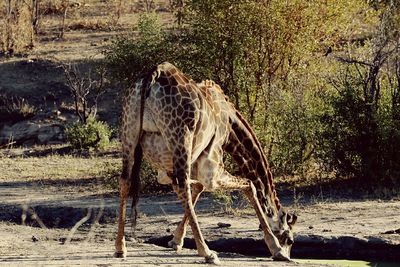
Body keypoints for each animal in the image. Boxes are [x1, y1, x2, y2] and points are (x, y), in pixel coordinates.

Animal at [115, 61, 296, 264]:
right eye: (290, 239)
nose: (289, 255)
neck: (230, 124)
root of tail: (152, 76)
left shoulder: (168, 169)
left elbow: (196, 189)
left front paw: (175, 240)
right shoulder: (212, 170)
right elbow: (249, 185)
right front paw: (276, 249)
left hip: (129, 134)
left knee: (125, 181)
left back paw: (120, 248)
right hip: (181, 136)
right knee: (182, 183)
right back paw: (207, 252)